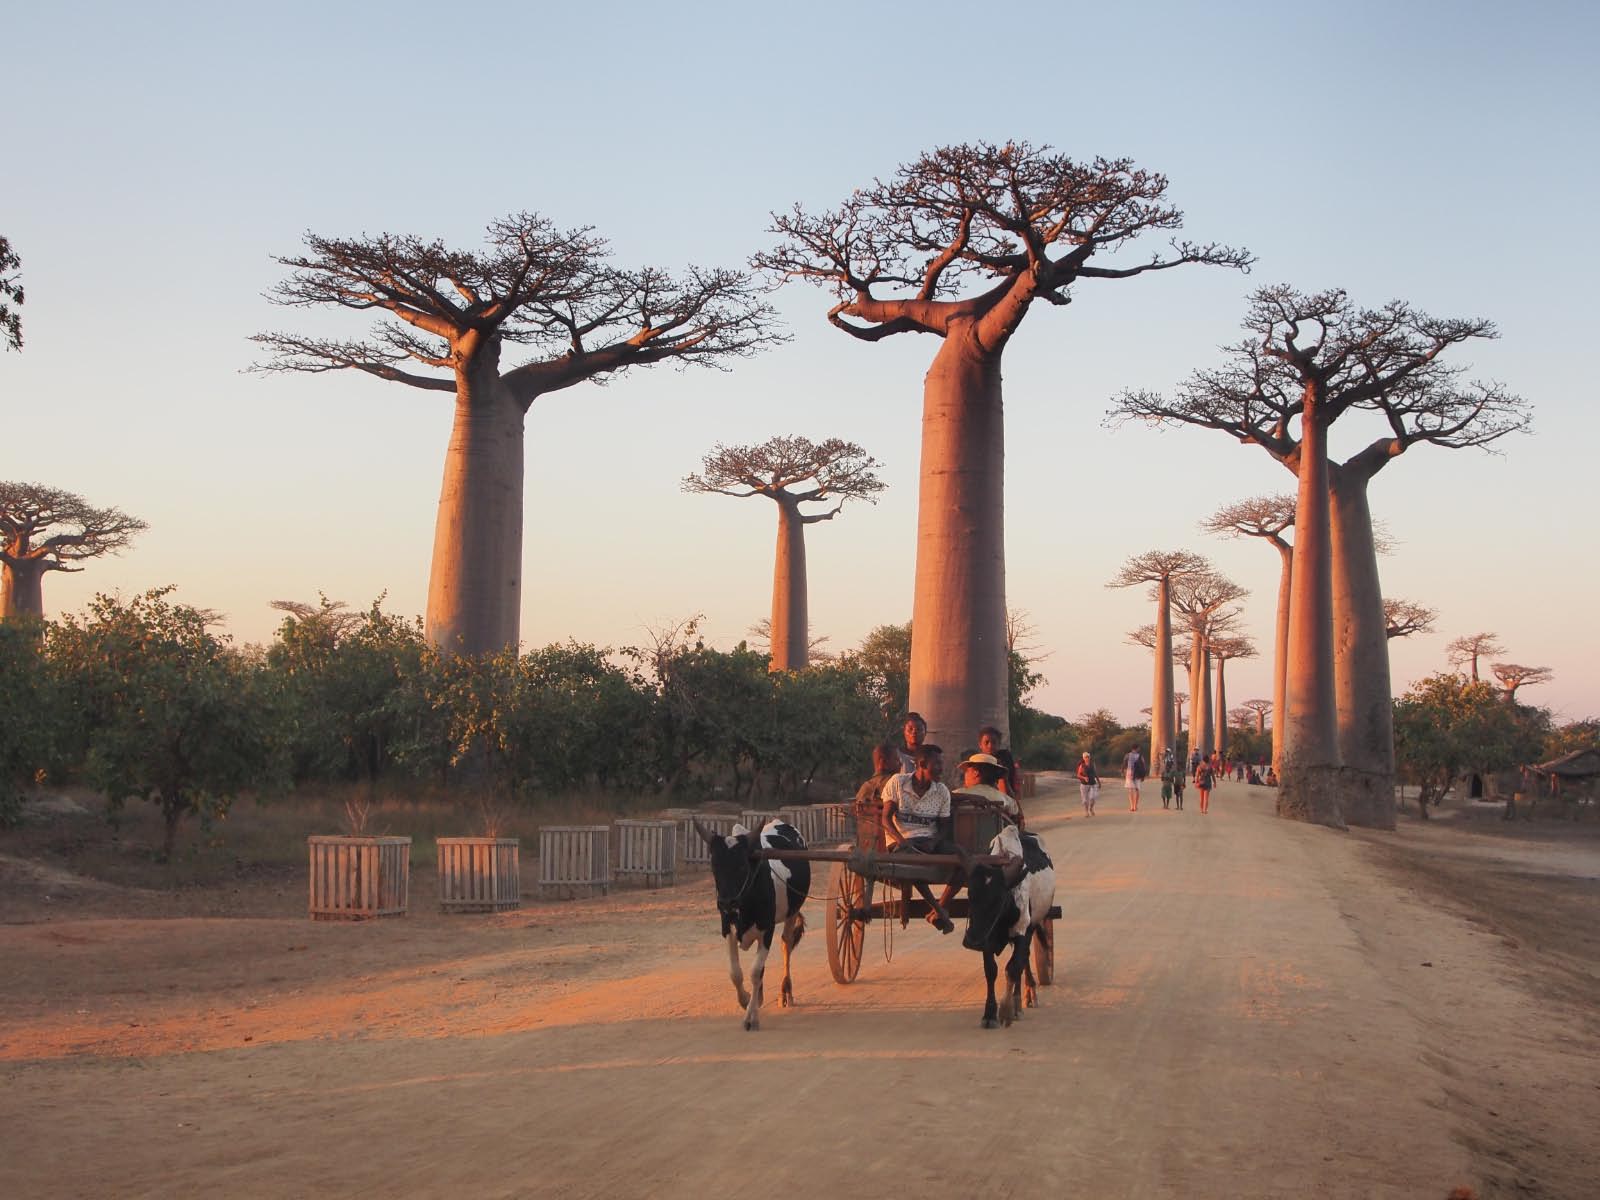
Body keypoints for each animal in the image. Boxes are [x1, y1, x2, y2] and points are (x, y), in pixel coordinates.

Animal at [691, 819, 806, 1036]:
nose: (726, 902)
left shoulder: (767, 932)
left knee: (786, 944)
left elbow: (754, 972)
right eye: (714, 866)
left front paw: (751, 1018)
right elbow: (736, 972)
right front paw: (745, 1000)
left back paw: (786, 991)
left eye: (742, 865)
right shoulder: (727, 927)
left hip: (792, 913)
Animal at [953, 825, 1056, 1036]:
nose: (971, 940)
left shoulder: (1022, 931)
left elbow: (1012, 968)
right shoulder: (987, 939)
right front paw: (989, 1014)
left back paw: (1023, 999)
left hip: (1032, 927)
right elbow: (991, 971)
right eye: (970, 895)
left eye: (998, 899)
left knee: (1022, 961)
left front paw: (1007, 1010)